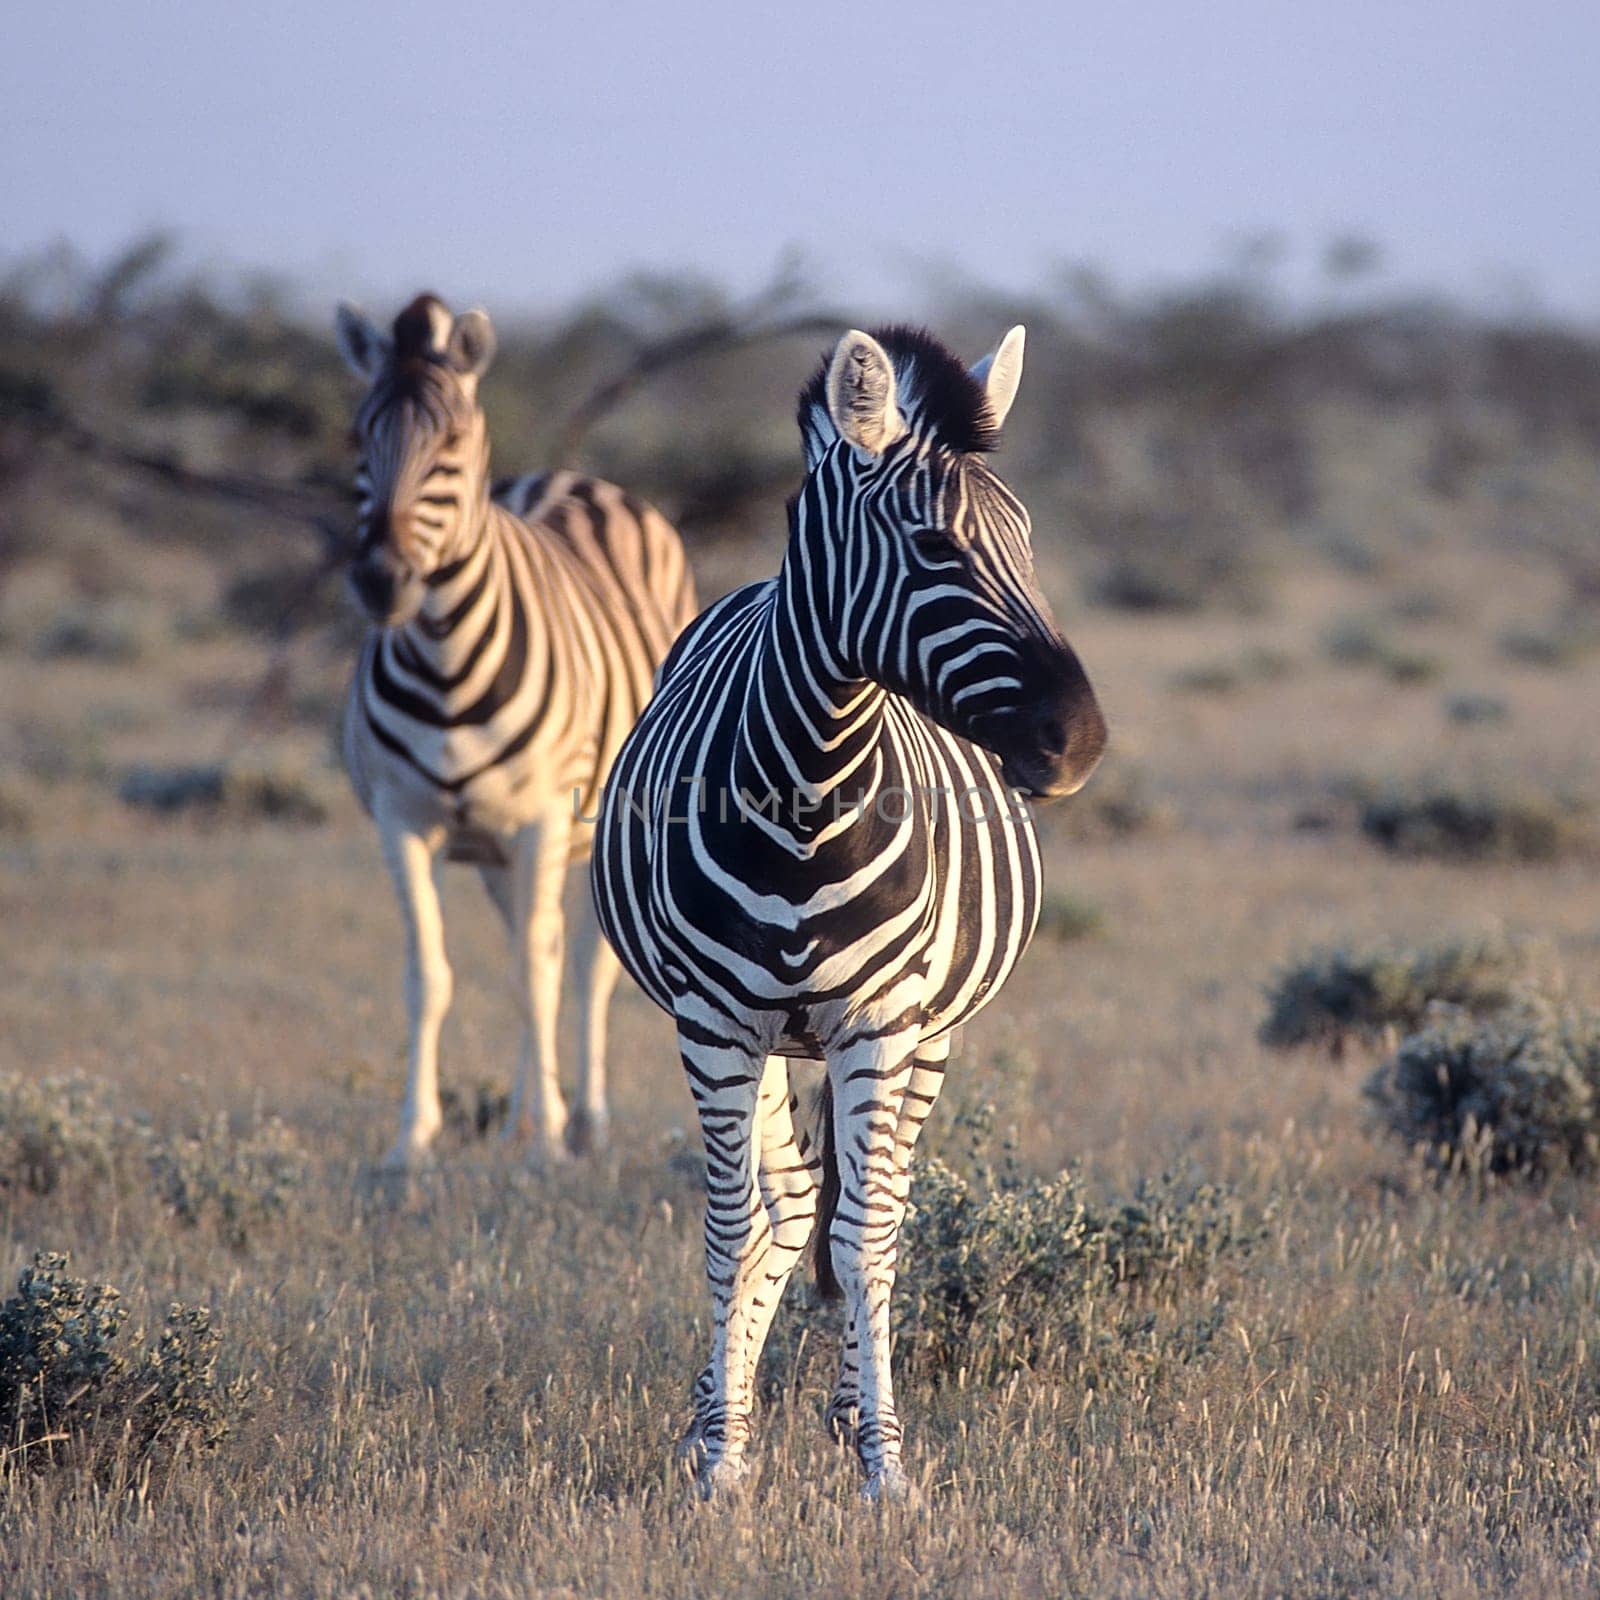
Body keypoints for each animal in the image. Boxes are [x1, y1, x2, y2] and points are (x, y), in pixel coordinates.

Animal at [334, 294, 697, 1177]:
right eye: (359, 438)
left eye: (452, 445)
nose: (383, 581)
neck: (445, 664)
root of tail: (573, 477)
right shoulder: (403, 822)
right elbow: (430, 977)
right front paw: (413, 1142)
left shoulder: (540, 817)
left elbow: (538, 980)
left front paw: (551, 1148)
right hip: (503, 853)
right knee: (541, 950)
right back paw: (528, 1121)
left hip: (606, 824)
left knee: (584, 969)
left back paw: (584, 1122)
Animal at [595, 318, 1107, 1491]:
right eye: (934, 549)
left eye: (1028, 542)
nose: (1079, 742)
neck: (812, 788)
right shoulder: (714, 1025)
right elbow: (731, 1229)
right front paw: (721, 1463)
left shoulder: (878, 1021)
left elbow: (864, 1238)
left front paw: (882, 1464)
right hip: (765, 1038)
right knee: (784, 1207)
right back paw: (713, 1415)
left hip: (925, 1034)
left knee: (874, 1214)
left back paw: (839, 1413)